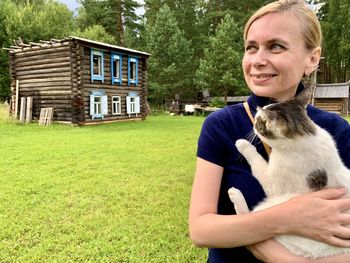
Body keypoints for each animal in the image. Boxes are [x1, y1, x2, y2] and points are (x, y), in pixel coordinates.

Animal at [228, 87, 350, 260]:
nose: (253, 125)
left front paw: (244, 145)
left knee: (248, 219)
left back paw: (235, 195)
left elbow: (257, 162)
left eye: (258, 121)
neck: (305, 135)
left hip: (280, 204)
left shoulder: (275, 182)